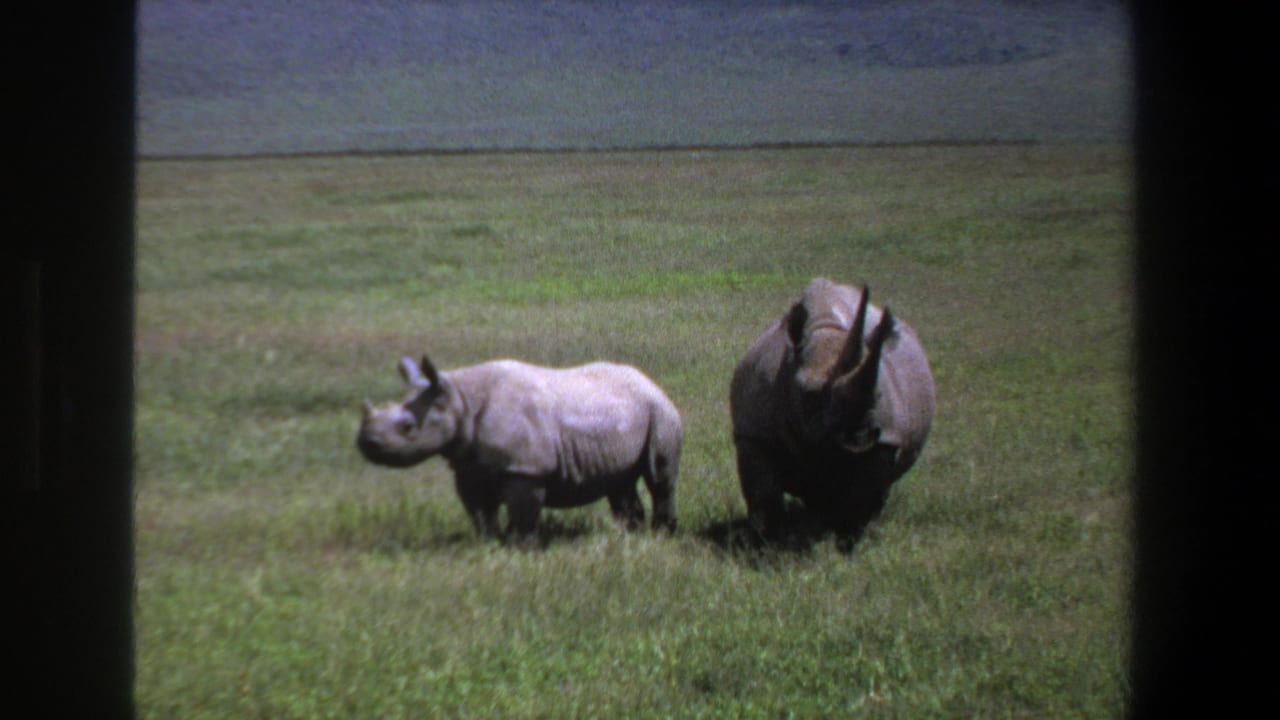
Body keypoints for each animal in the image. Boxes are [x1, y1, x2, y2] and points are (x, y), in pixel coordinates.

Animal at [356, 355, 682, 542]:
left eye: (408, 427)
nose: (364, 443)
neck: (459, 398)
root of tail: (650, 381)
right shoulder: (468, 465)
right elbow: (479, 511)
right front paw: (487, 544)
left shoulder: (526, 468)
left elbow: (523, 513)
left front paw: (520, 548)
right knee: (620, 482)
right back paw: (630, 536)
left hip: (660, 411)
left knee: (659, 479)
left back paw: (660, 536)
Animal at [730, 277, 935, 545]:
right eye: (809, 394)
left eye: (878, 394)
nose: (861, 435)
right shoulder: (755, 433)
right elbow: (763, 494)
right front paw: (766, 541)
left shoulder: (886, 440)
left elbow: (862, 495)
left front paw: (847, 540)